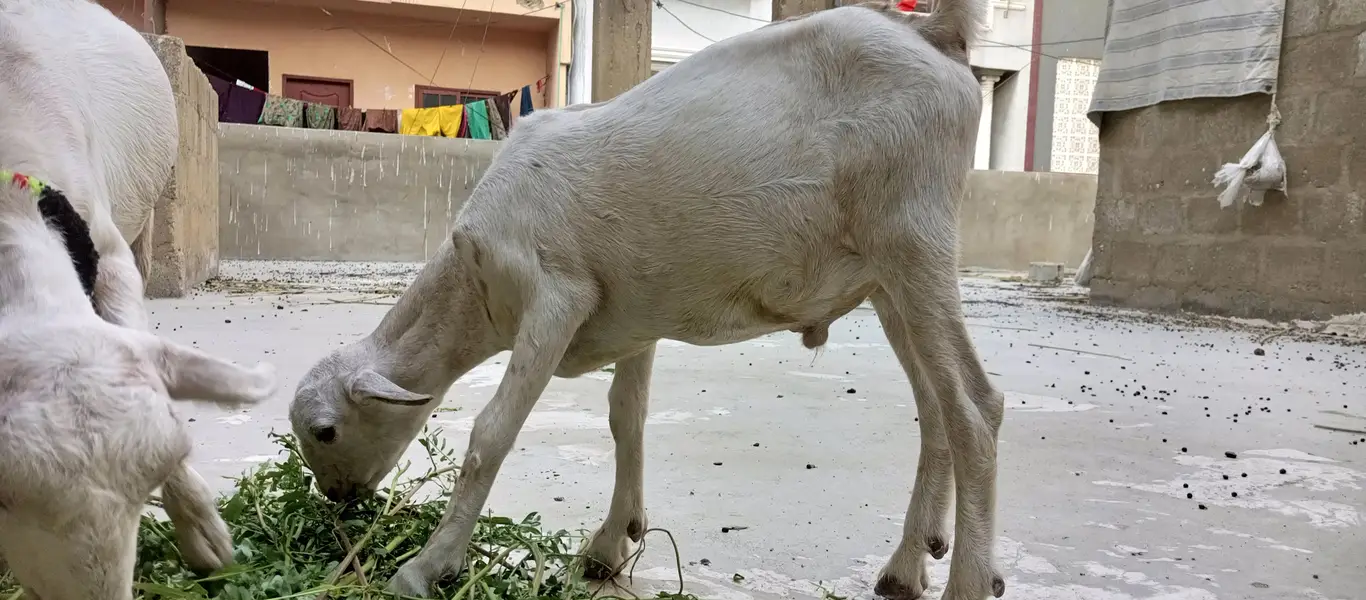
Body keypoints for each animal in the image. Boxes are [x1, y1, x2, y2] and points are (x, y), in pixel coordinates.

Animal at [289, 1, 1005, 598]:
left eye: (326, 430)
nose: (338, 497)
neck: (474, 284)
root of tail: (935, 34)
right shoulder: (633, 320)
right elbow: (624, 419)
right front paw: (612, 543)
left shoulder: (556, 297)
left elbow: (492, 433)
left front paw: (424, 568)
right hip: (889, 280)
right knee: (936, 412)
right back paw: (907, 565)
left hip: (914, 236)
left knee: (975, 409)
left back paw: (968, 580)